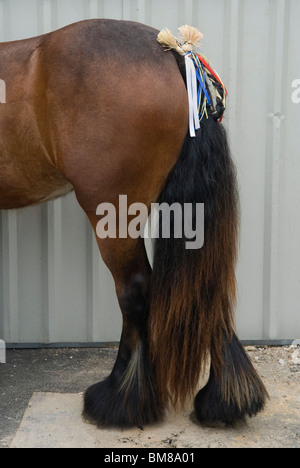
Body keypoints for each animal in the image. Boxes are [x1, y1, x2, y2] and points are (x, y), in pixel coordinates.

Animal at [0, 19, 268, 428]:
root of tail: (173, 54)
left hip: (111, 213)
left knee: (135, 291)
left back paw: (120, 400)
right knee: (207, 288)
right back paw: (227, 400)